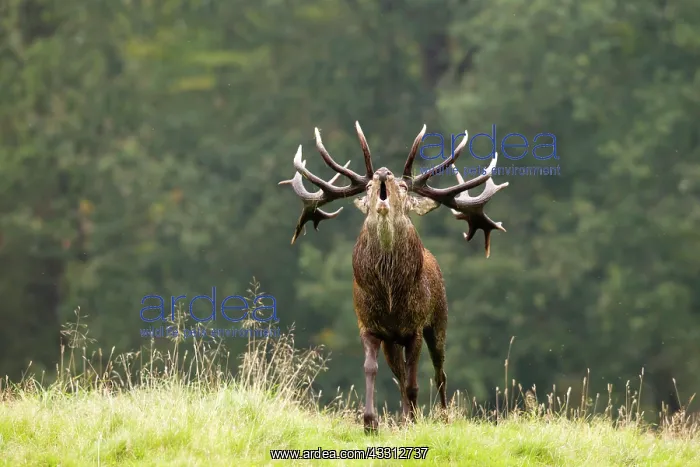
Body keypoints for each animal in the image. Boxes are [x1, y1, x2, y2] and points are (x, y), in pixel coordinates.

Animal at [279, 122, 509, 433]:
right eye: (367, 187)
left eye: (402, 186)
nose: (383, 172)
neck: (389, 294)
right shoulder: (369, 325)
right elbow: (372, 370)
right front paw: (370, 421)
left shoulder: (415, 327)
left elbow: (414, 383)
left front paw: (412, 421)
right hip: (392, 341)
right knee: (400, 375)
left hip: (440, 319)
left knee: (439, 371)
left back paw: (441, 416)